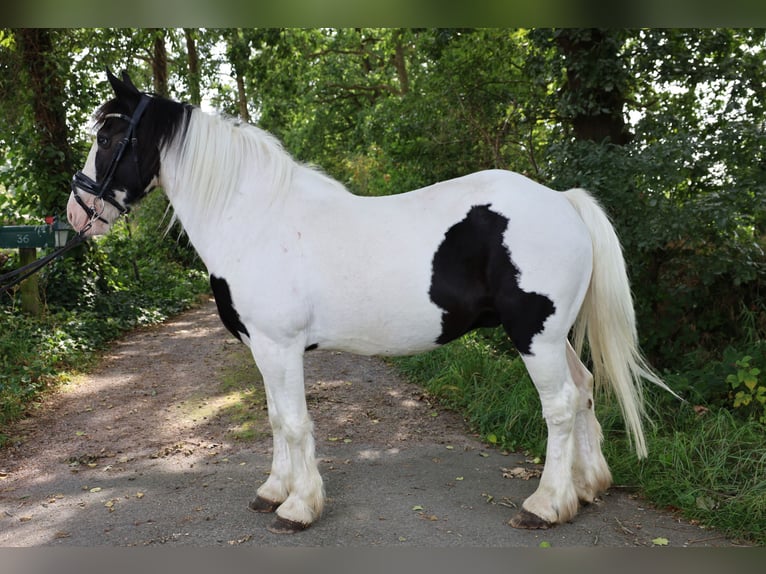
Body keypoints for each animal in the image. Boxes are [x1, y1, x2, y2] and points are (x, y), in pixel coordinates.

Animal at [67, 71, 680, 536]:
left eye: (108, 139)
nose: (77, 213)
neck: (255, 218)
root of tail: (564, 202)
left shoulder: (280, 346)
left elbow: (294, 422)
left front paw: (298, 507)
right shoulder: (263, 348)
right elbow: (274, 419)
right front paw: (273, 491)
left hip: (535, 336)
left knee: (559, 405)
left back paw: (547, 505)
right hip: (553, 337)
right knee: (584, 391)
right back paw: (588, 486)